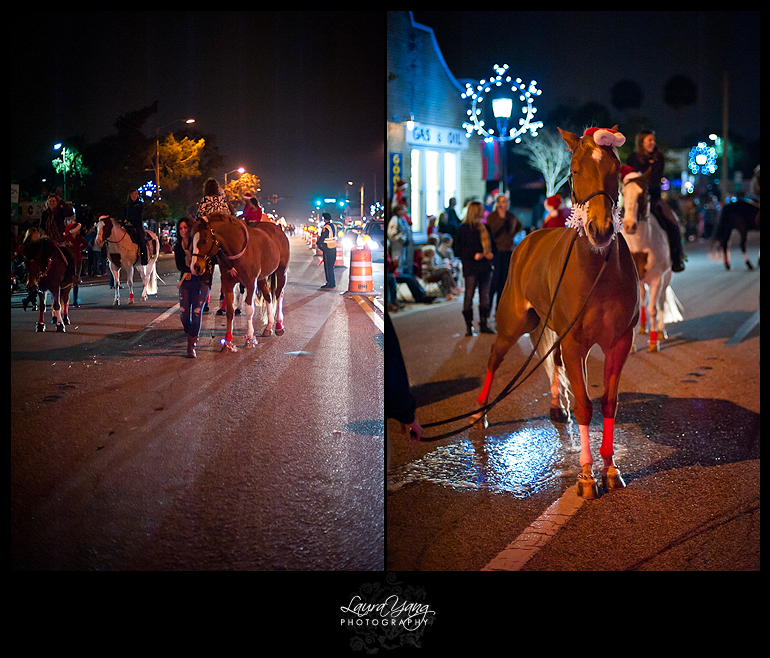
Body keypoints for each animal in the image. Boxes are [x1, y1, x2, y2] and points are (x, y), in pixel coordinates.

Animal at [190, 214, 290, 348]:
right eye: (192, 240)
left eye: (205, 240)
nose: (194, 267)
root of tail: (278, 228)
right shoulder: (227, 283)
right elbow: (229, 312)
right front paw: (227, 342)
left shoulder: (250, 283)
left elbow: (249, 310)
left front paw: (250, 338)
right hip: (262, 278)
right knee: (268, 296)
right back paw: (269, 326)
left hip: (281, 272)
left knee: (279, 295)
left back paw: (279, 325)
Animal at [476, 127, 640, 498]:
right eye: (575, 171)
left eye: (615, 169)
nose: (600, 229)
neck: (597, 269)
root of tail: (529, 238)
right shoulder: (575, 343)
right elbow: (584, 406)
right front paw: (586, 475)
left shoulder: (619, 342)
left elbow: (609, 402)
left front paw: (610, 469)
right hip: (513, 323)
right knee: (493, 357)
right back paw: (480, 412)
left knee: (551, 359)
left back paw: (554, 405)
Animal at [620, 169, 680, 352]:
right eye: (623, 193)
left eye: (644, 193)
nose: (629, 225)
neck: (640, 244)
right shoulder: (633, 280)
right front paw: (631, 346)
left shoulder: (657, 279)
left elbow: (653, 308)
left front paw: (653, 343)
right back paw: (642, 328)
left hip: (666, 278)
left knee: (660, 302)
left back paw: (660, 331)